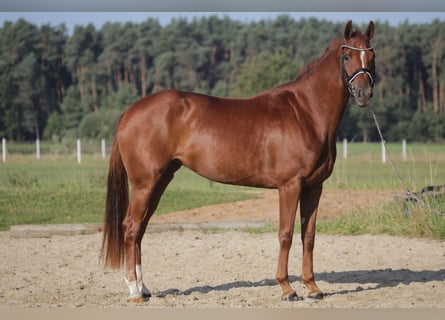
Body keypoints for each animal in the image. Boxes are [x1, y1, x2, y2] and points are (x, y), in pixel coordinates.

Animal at [100, 20, 374, 302]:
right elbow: (285, 234)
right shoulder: (290, 186)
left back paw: (144, 288)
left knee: (141, 229)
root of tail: (130, 111)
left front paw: (313, 286)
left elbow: (308, 236)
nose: (364, 93)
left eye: (372, 56)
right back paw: (134, 290)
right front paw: (287, 288)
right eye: (347, 56)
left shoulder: (313, 187)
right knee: (131, 227)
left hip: (160, 180)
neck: (306, 113)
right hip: (144, 183)